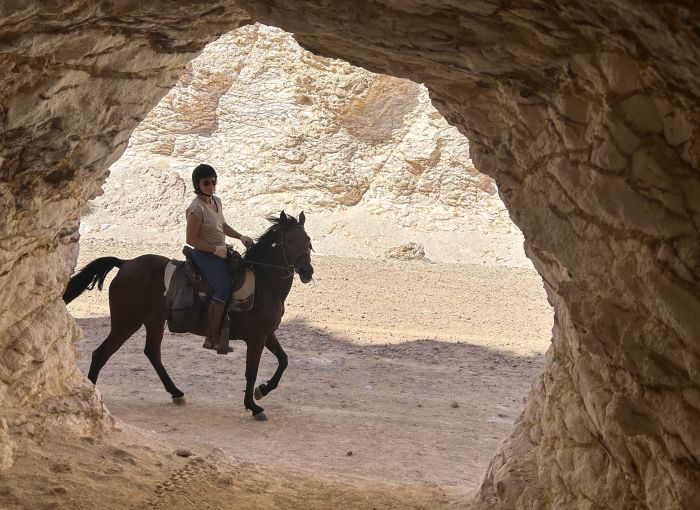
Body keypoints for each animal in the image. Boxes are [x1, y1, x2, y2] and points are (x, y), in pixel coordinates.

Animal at [63, 209, 314, 420]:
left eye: (308, 241)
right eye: (290, 242)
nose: (307, 271)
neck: (263, 284)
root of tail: (125, 263)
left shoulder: (267, 334)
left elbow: (284, 360)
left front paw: (262, 390)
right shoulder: (256, 339)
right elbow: (250, 372)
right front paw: (253, 406)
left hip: (154, 321)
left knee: (152, 353)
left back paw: (175, 392)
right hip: (126, 322)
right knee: (101, 354)